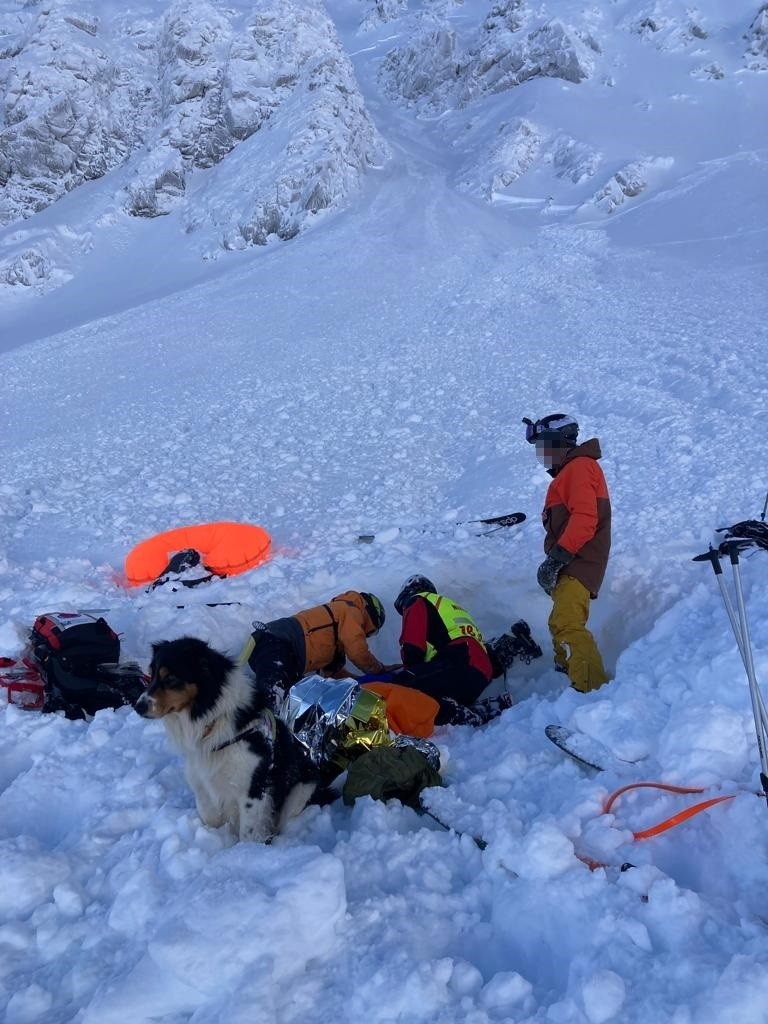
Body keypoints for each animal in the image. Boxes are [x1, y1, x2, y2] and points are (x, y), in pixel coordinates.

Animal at [134, 634, 319, 843]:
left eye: (171, 677)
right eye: (152, 675)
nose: (138, 706)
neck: (212, 721)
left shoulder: (252, 789)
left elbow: (248, 833)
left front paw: (244, 849)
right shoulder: (202, 782)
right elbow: (211, 818)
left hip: (304, 787)